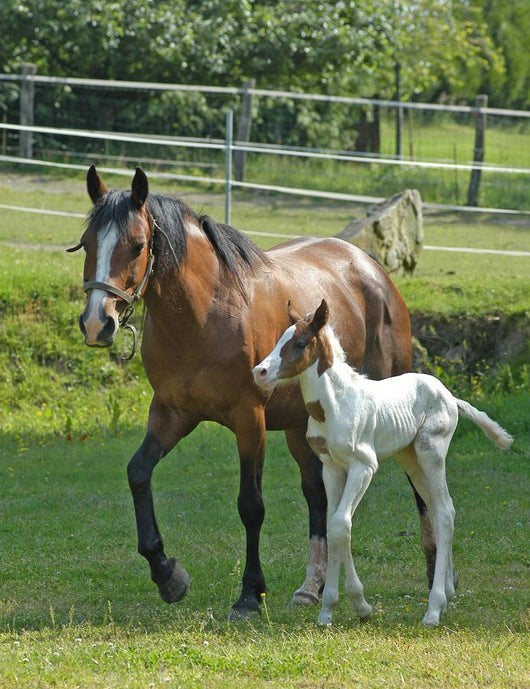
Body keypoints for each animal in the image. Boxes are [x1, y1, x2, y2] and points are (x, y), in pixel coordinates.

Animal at [69, 164, 418, 620]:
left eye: (138, 245)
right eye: (87, 243)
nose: (98, 323)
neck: (203, 316)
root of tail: (371, 267)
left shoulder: (249, 420)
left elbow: (250, 504)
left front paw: (250, 594)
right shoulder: (171, 413)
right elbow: (138, 473)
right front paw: (168, 575)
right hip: (302, 428)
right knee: (318, 496)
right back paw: (312, 588)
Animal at [253, 299, 513, 626]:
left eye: (300, 343)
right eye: (278, 340)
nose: (260, 372)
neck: (335, 406)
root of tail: (449, 395)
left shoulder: (364, 466)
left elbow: (340, 524)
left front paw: (360, 605)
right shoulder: (332, 468)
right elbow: (334, 525)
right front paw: (327, 611)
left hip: (431, 453)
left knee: (444, 512)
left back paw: (434, 608)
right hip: (411, 459)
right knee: (442, 509)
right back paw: (448, 593)